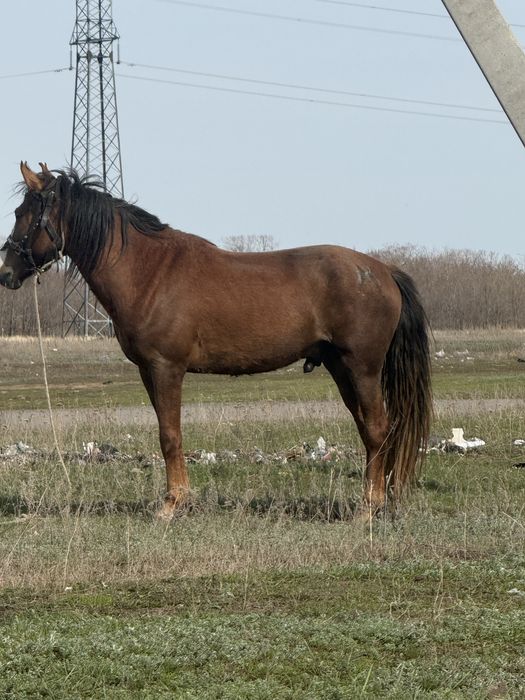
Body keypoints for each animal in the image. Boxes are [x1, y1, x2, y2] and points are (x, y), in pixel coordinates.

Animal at [0, 162, 432, 520]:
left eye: (23, 214)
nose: (5, 272)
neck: (149, 272)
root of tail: (384, 271)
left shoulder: (167, 368)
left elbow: (170, 436)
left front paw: (172, 505)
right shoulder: (148, 372)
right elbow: (168, 433)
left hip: (362, 368)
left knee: (377, 429)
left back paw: (368, 508)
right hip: (341, 369)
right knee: (369, 431)